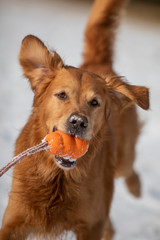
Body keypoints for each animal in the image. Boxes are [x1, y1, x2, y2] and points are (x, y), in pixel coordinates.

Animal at [0, 0, 149, 238]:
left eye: (95, 102)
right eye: (62, 95)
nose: (78, 122)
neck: (59, 177)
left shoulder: (91, 223)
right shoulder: (14, 220)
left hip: (123, 159)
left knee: (129, 171)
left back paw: (136, 188)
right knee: (111, 224)